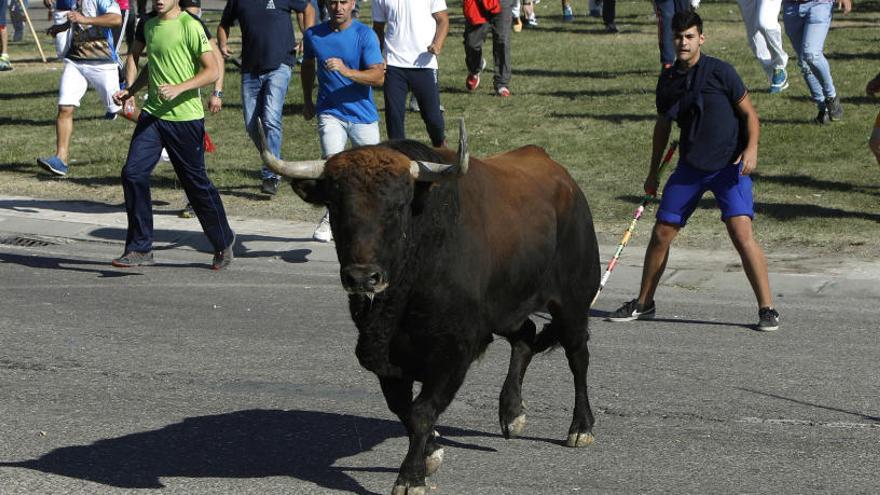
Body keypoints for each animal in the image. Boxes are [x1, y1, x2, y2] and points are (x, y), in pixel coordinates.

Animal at [258, 120, 600, 495]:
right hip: (507, 306)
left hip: (573, 302)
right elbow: (404, 408)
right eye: (334, 205)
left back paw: (580, 427)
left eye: (398, 205)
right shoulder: (386, 357)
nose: (363, 277)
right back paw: (512, 414)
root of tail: (560, 175)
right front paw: (432, 451)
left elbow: (422, 411)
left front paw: (411, 476)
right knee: (524, 337)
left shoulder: (454, 351)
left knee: (578, 358)